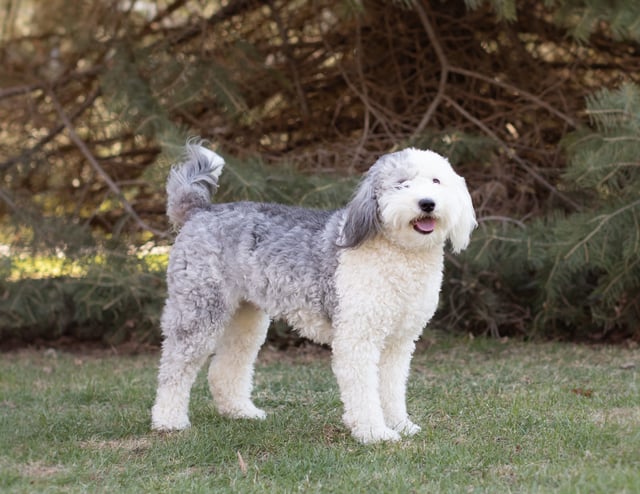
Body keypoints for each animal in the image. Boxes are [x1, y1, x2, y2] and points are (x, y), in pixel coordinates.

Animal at [152, 143, 478, 444]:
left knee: (225, 367)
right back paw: (169, 421)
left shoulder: (398, 342)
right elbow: (364, 391)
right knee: (174, 369)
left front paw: (400, 425)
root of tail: (201, 210)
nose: (427, 204)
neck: (398, 253)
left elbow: (391, 388)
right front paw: (375, 433)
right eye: (401, 183)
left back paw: (239, 411)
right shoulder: (358, 338)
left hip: (246, 318)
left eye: (436, 181)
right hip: (198, 308)